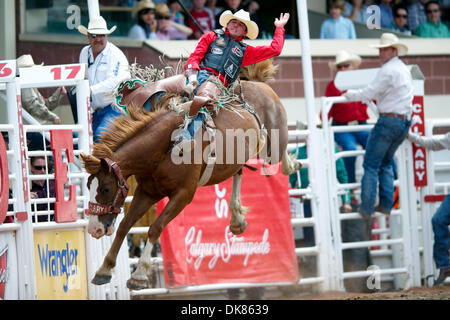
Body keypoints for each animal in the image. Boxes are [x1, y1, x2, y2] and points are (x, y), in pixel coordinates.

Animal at [81, 60, 300, 290]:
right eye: (88, 186)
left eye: (105, 188)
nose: (94, 229)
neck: (166, 146)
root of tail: (257, 84)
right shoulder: (148, 191)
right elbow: (124, 225)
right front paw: (104, 269)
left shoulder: (183, 195)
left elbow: (155, 227)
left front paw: (139, 274)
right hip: (236, 157)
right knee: (238, 171)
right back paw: (237, 219)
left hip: (273, 146)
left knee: (280, 158)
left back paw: (292, 164)